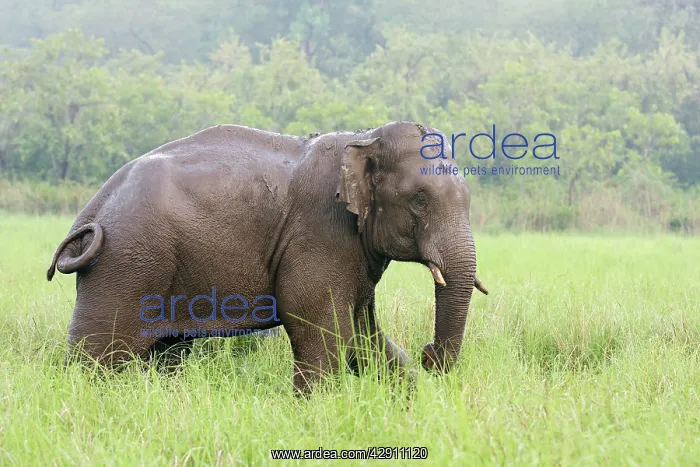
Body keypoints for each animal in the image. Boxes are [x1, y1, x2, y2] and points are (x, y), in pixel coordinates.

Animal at [47, 121, 488, 394]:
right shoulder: (320, 230)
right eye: (419, 200)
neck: (365, 137)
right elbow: (316, 320)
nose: (429, 355)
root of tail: (93, 208)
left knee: (168, 350)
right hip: (126, 259)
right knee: (99, 352)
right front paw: (315, 411)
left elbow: (364, 334)